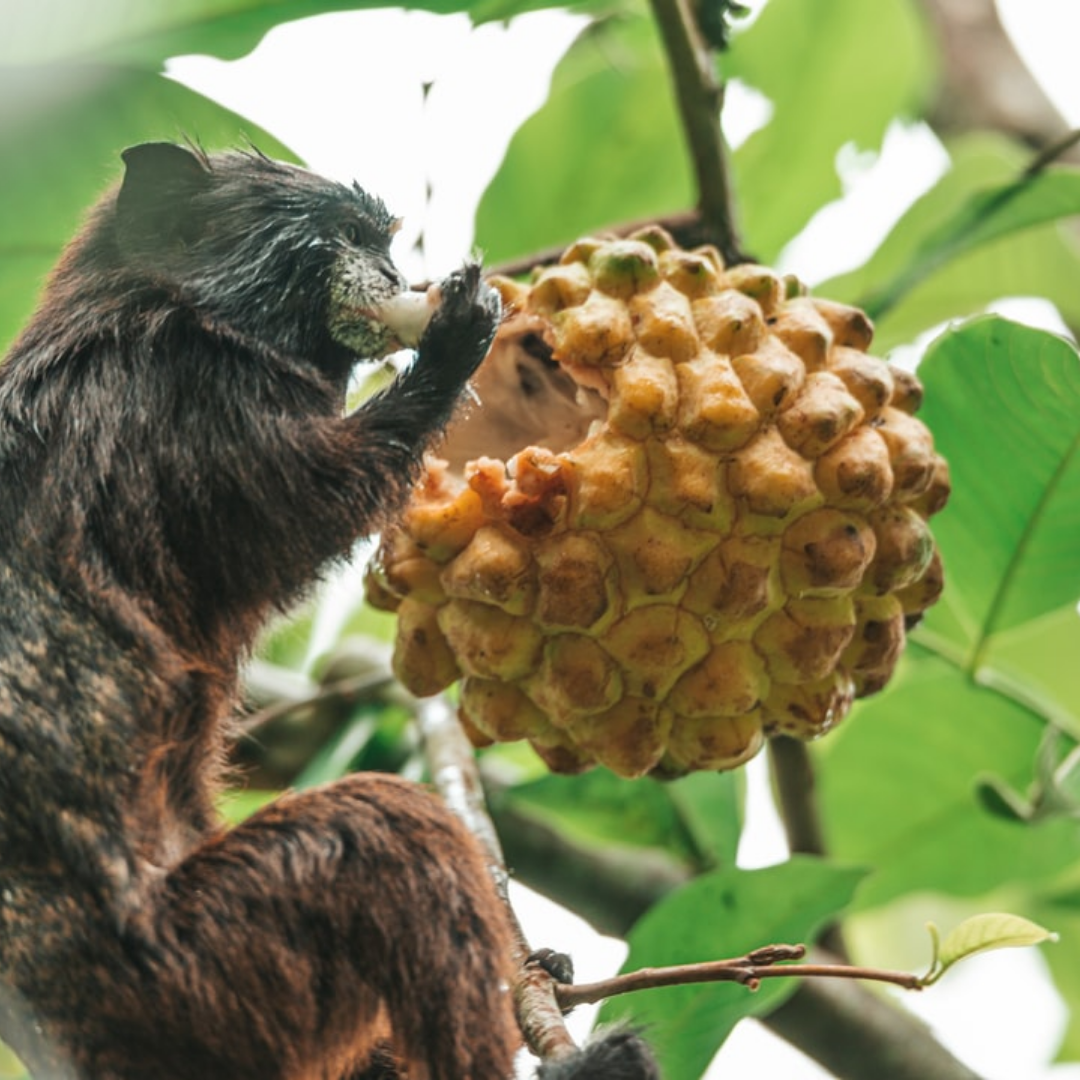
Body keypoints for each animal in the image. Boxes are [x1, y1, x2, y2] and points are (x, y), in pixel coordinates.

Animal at [0, 145, 656, 1080]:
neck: (158, 304)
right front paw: (457, 337)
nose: (393, 278)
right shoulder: (183, 390)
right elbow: (311, 505)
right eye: (345, 239)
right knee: (389, 831)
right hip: (191, 978)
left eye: (381, 245)